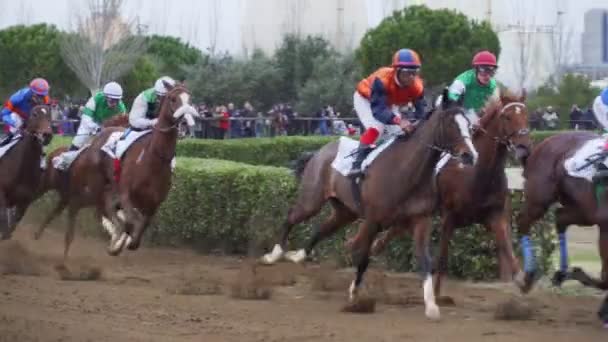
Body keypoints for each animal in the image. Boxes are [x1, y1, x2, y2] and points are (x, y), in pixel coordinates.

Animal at [0, 105, 52, 239]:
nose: (47, 135)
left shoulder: (25, 201)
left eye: (50, 115)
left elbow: (11, 227)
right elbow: (4, 221)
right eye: (34, 114)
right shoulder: (1, 193)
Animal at [260, 92, 476, 320]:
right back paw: (274, 254)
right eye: (451, 124)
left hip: (345, 212)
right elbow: (363, 257)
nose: (470, 155)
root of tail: (319, 152)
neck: (407, 171)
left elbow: (424, 259)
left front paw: (431, 305)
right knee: (291, 217)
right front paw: (355, 295)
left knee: (321, 229)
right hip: (312, 200)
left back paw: (299, 255)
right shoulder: (373, 220)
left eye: (469, 125)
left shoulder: (420, 219)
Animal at [366, 93, 532, 300]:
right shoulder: (449, 216)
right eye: (507, 117)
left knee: (397, 227)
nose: (524, 147)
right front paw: (436, 294)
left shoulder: (495, 214)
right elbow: (443, 257)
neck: (477, 174)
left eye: (526, 115)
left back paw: (374, 246)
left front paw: (522, 280)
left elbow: (506, 246)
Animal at [516, 131, 608, 326]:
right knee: (523, 222)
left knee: (560, 219)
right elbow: (607, 276)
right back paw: (528, 277)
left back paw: (562, 272)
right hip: (539, 199)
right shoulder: (605, 225)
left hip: (583, 211)